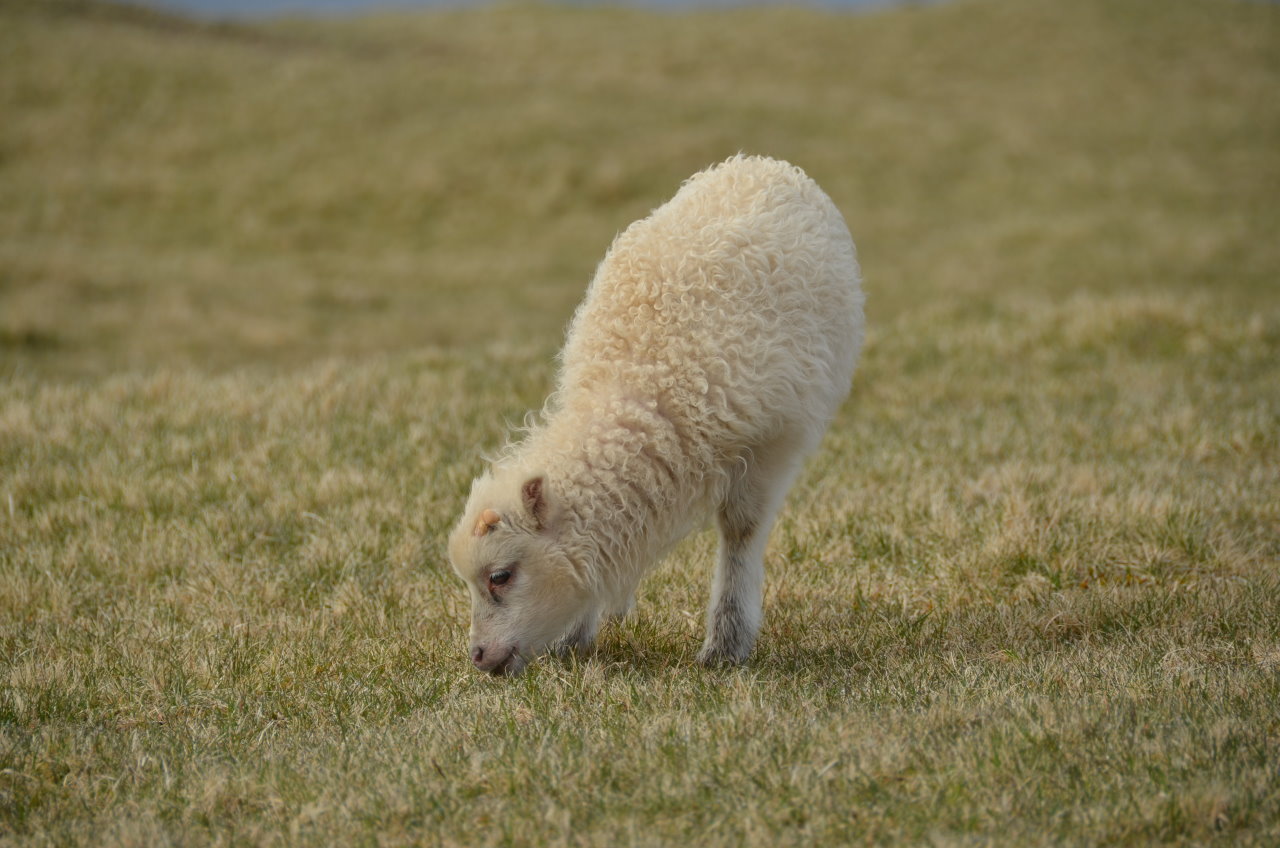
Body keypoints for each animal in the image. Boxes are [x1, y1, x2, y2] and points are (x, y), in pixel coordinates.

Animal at [445, 153, 865, 676]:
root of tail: (757, 164)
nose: (479, 658)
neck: (639, 386)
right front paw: (573, 637)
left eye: (500, 576)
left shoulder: (770, 442)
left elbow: (741, 530)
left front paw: (726, 645)